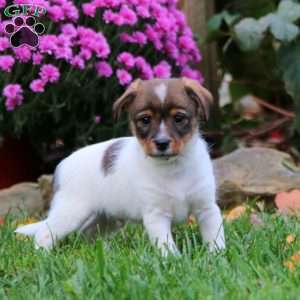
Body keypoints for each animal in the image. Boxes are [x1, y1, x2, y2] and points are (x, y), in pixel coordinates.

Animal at [14, 78, 225, 255]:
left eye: (179, 118)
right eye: (145, 120)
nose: (162, 143)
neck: (174, 168)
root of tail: (62, 164)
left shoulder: (207, 209)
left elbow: (215, 238)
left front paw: (217, 257)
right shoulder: (156, 215)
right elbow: (166, 245)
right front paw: (173, 261)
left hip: (104, 218)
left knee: (87, 234)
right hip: (71, 213)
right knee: (44, 233)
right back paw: (43, 257)